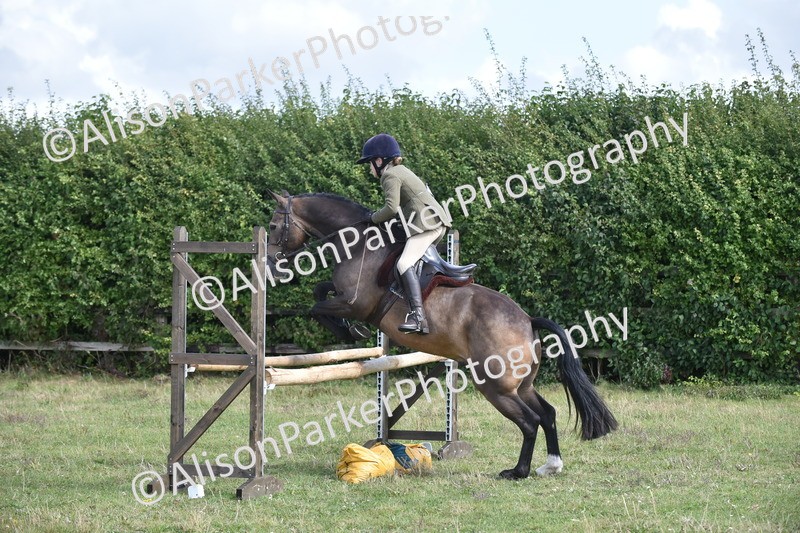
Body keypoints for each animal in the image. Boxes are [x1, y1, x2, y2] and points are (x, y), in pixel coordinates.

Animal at [265, 190, 617, 479]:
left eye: (272, 226)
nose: (270, 266)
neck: (360, 245)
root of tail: (527, 321)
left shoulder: (355, 303)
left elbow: (317, 305)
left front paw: (351, 330)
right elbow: (319, 291)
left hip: (495, 385)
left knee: (530, 421)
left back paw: (518, 472)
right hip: (520, 384)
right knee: (548, 413)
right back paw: (551, 465)